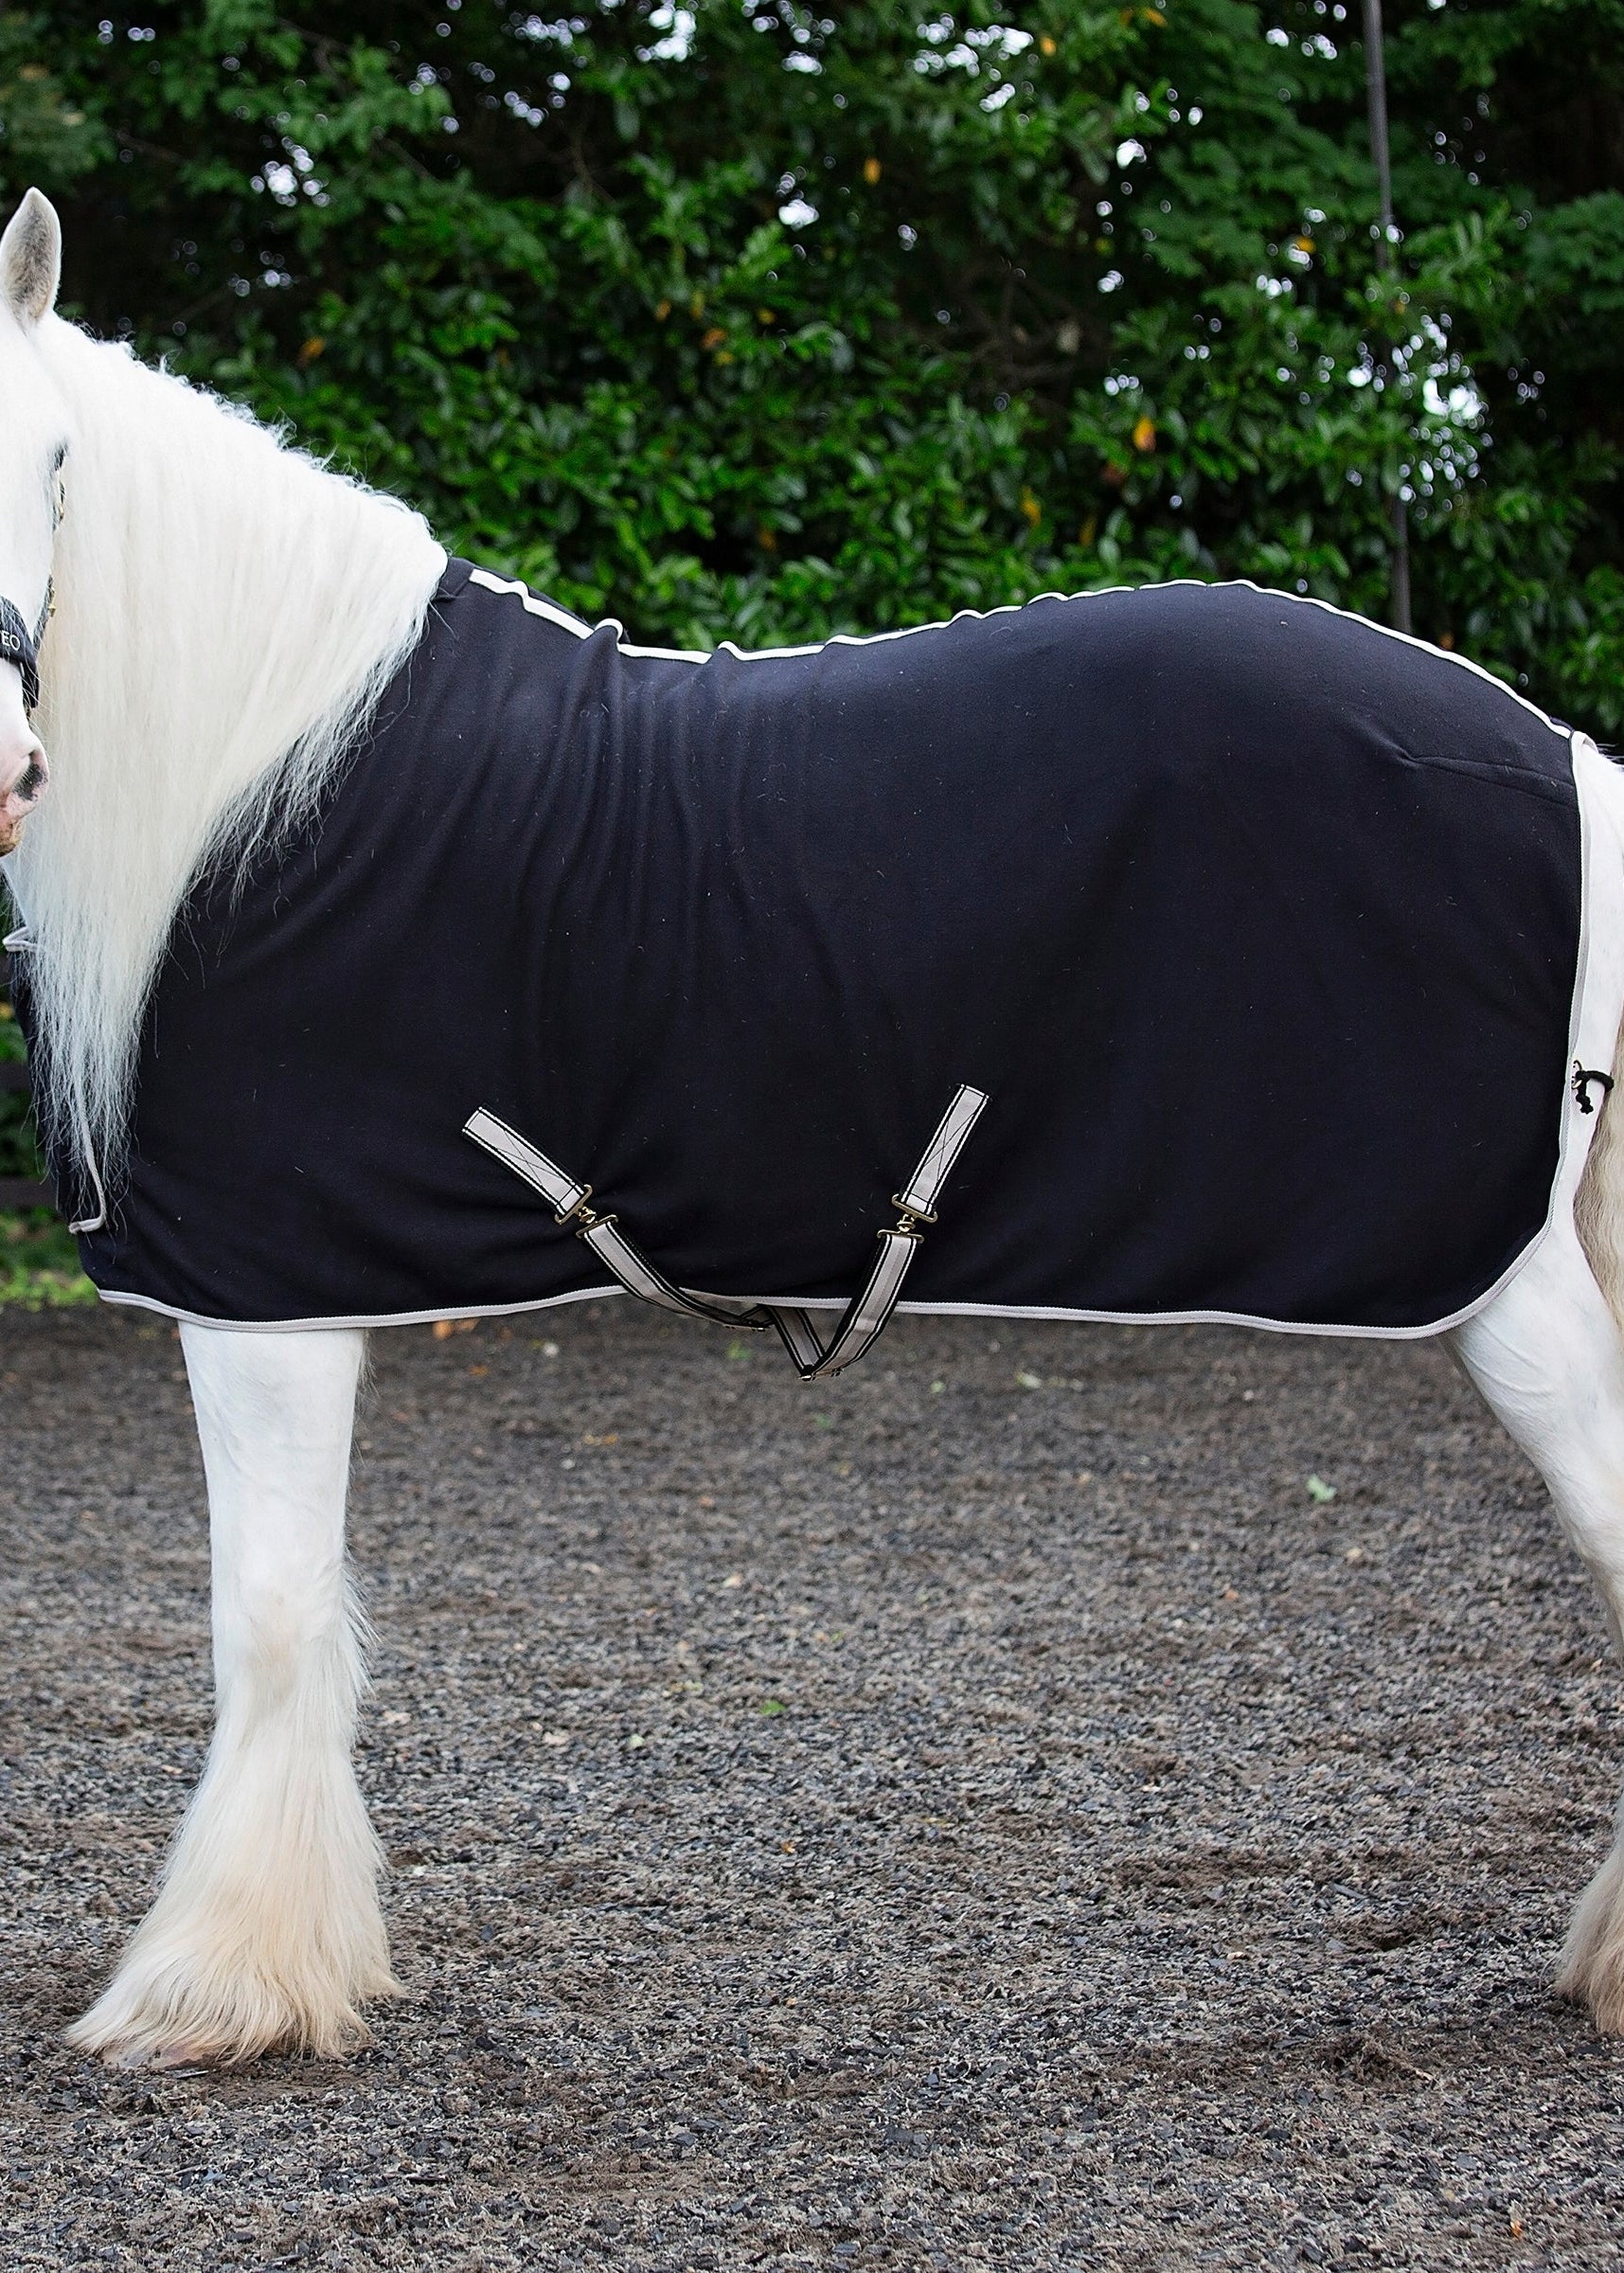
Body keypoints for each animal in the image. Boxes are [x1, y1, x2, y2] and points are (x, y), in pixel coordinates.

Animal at [6, 184, 1624, 2072]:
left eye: (54, 460)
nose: (7, 768)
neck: (253, 778)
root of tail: (1558, 756)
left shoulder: (268, 1292)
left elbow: (265, 1620)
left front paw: (212, 1989)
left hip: (1494, 1276)